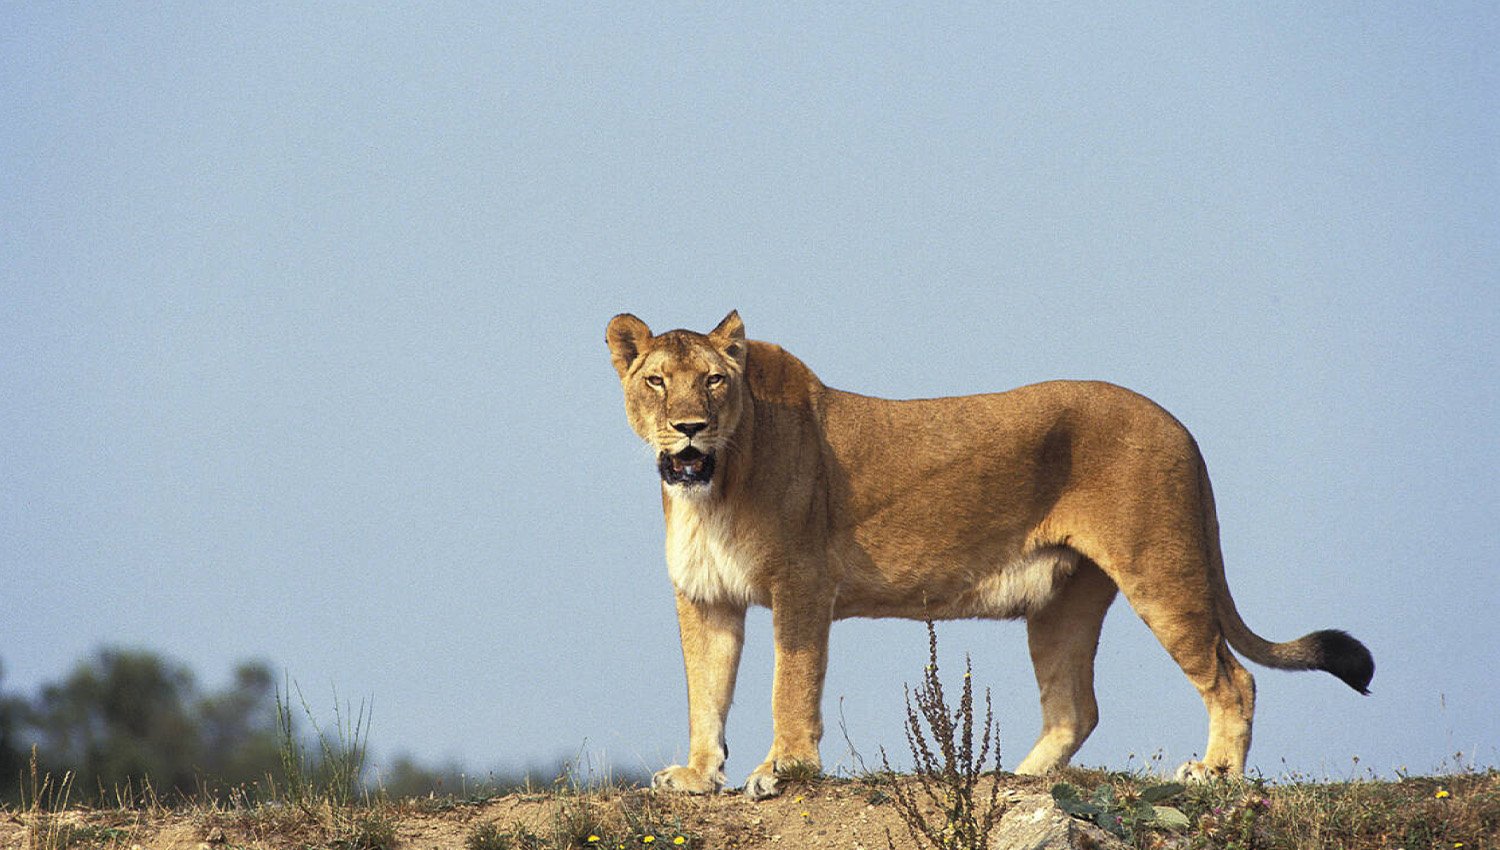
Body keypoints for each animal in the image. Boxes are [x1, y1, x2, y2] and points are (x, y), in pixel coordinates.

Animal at [606, 310, 1373, 799]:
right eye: (656, 381)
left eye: (713, 381)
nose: (688, 428)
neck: (713, 485)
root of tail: (1178, 424)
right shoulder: (705, 597)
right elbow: (705, 692)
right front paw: (697, 776)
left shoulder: (801, 584)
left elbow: (789, 686)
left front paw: (784, 770)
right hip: (1065, 602)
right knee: (1075, 707)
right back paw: (1020, 778)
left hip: (1163, 572)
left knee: (1232, 679)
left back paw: (1213, 775)